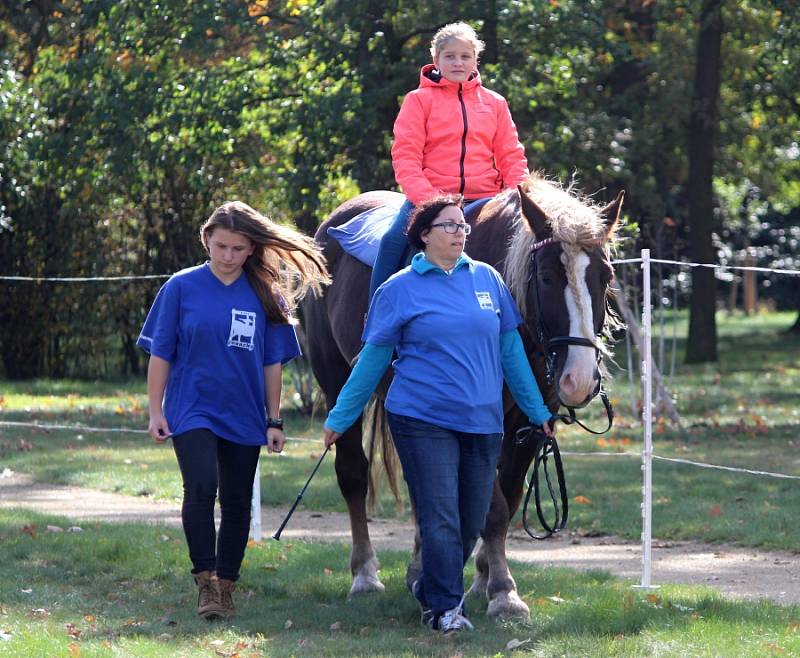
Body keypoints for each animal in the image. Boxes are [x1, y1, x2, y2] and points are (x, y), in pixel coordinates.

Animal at [304, 174, 620, 616]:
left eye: (605, 277)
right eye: (546, 278)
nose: (579, 379)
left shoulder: (531, 418)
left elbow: (506, 494)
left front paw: (484, 579)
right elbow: (494, 506)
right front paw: (503, 591)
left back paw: (419, 568)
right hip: (337, 383)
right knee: (353, 474)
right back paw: (365, 574)